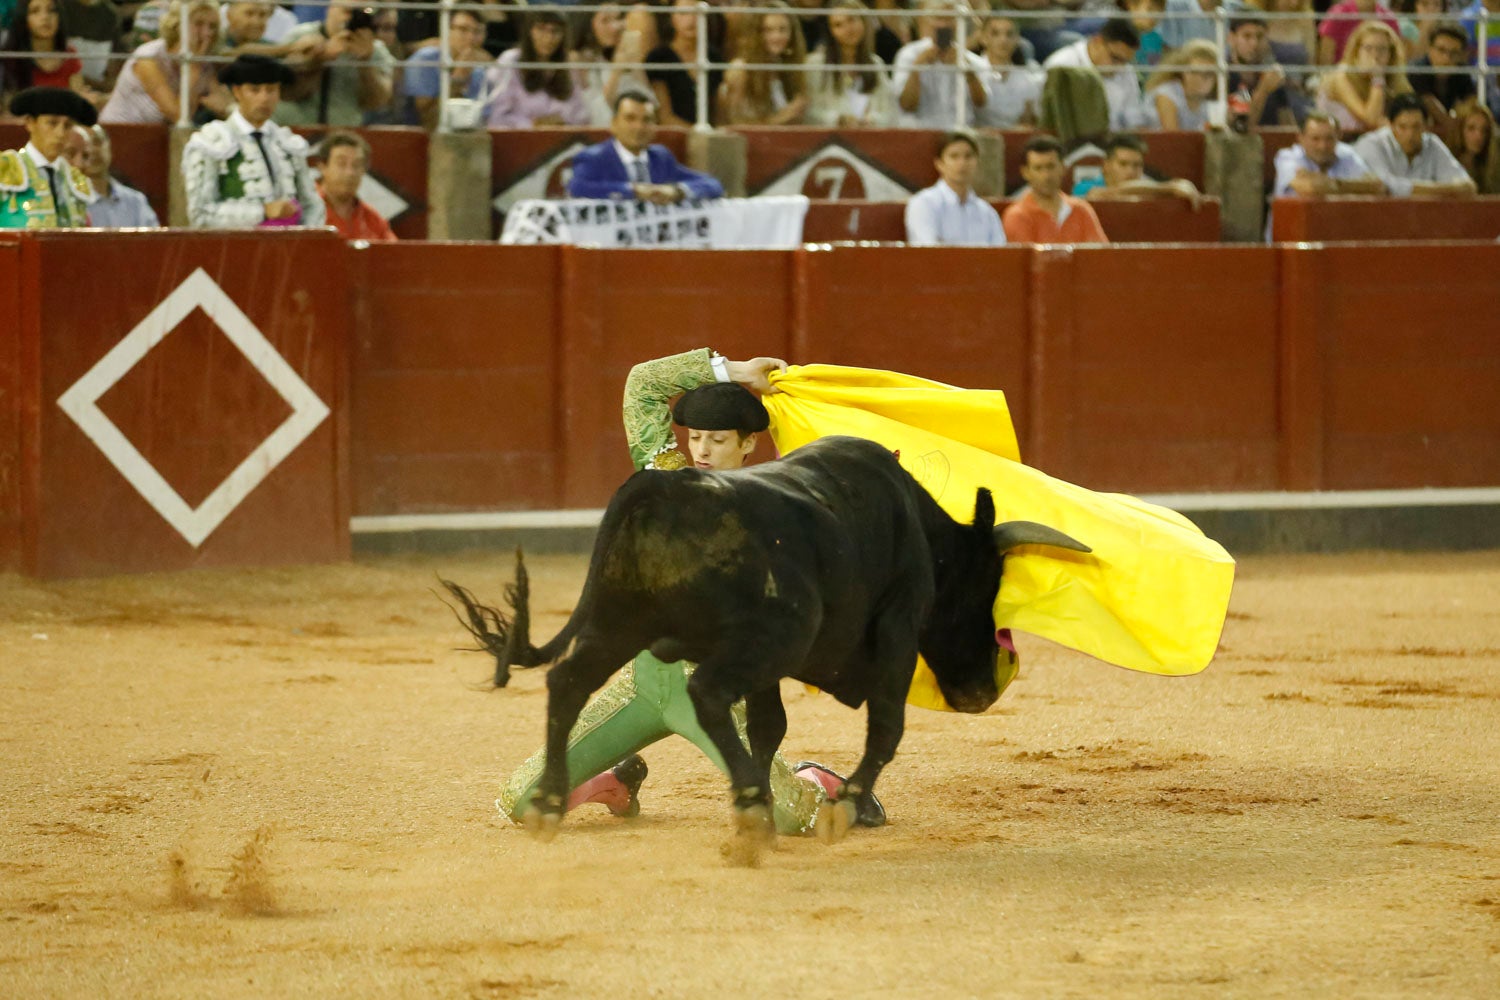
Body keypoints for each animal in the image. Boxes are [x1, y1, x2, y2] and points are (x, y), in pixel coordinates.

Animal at [444, 437, 1092, 851]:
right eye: (987, 587)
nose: (982, 692)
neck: (918, 528)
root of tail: (666, 489)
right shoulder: (897, 628)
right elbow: (886, 726)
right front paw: (836, 807)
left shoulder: (774, 673)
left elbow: (768, 726)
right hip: (766, 637)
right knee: (704, 691)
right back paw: (755, 802)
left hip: (619, 623)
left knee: (568, 681)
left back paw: (551, 804)